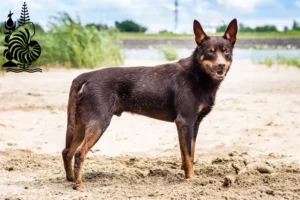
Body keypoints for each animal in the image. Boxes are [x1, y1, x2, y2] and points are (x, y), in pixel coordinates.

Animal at [62, 18, 238, 189]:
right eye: (210, 52)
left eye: (226, 51)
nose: (221, 65)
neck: (198, 74)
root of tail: (88, 75)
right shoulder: (185, 121)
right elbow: (188, 156)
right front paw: (190, 179)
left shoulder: (195, 123)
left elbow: (190, 153)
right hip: (99, 122)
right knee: (79, 152)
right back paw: (78, 184)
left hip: (81, 123)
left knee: (67, 151)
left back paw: (70, 179)